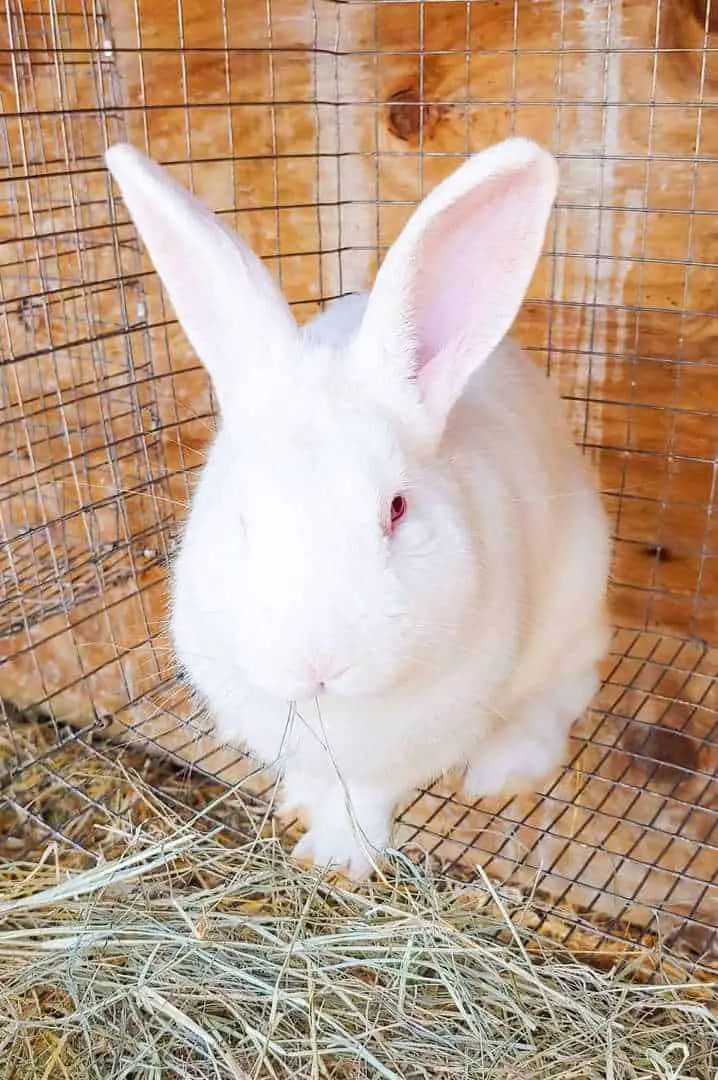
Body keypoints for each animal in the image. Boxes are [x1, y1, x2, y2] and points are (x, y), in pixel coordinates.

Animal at [106, 137, 608, 876]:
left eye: (396, 508)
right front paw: (297, 806)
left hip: (575, 603)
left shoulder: (408, 745)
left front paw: (337, 859)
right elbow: (312, 779)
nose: (317, 664)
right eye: (243, 515)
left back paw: (504, 771)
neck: (329, 716)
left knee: (562, 692)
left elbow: (363, 799)